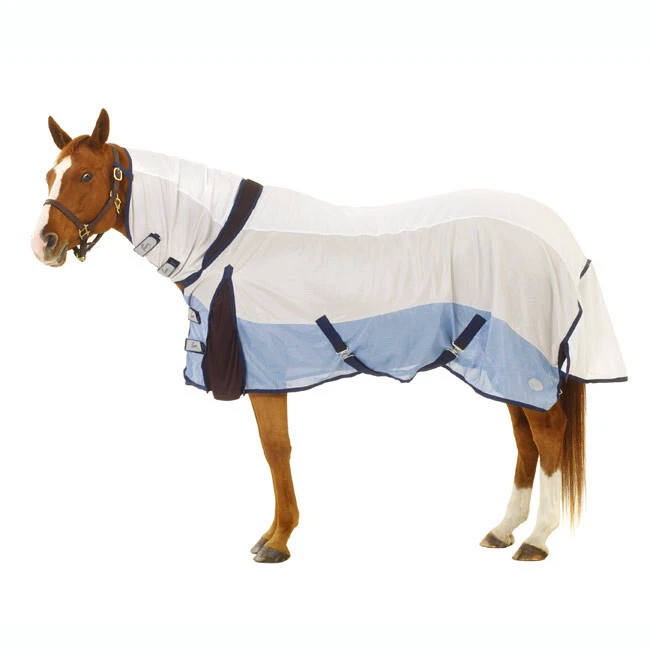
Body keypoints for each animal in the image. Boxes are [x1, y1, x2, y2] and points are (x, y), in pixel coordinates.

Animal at [31, 109, 627, 563]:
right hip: (500, 364)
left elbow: (276, 450)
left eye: (86, 177)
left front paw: (278, 540)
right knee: (526, 438)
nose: (44, 244)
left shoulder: (266, 371)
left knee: (548, 434)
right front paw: (274, 534)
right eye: (48, 176)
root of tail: (559, 238)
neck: (223, 239)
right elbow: (276, 452)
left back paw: (538, 539)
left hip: (520, 361)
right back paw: (503, 530)